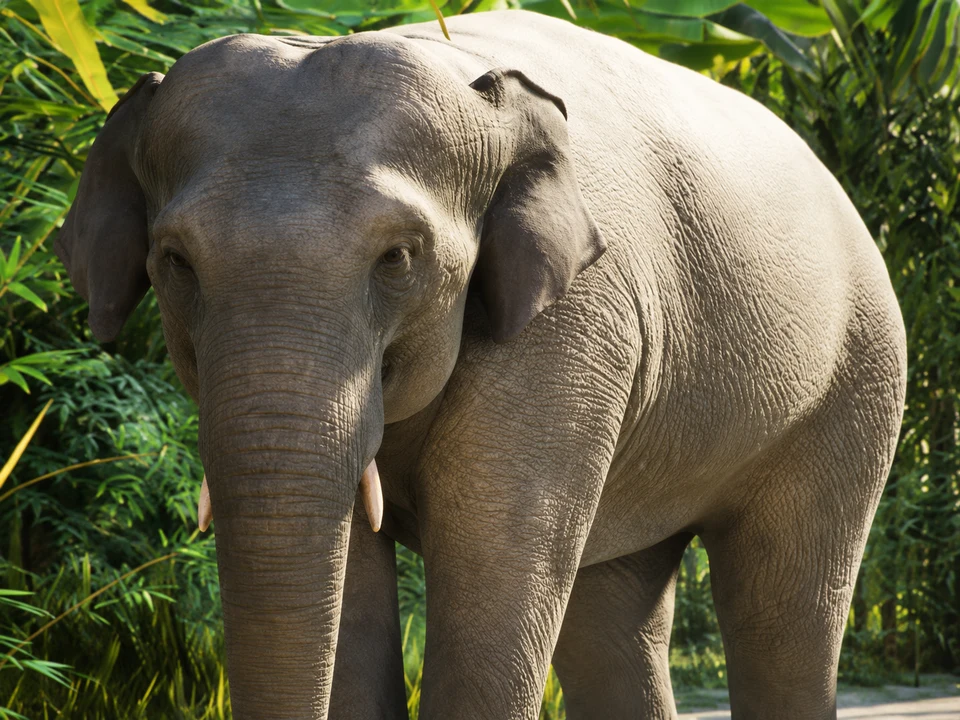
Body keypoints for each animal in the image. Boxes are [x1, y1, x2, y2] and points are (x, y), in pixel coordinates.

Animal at [54, 9, 907, 720]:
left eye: (399, 258)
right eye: (174, 261)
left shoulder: (571, 329)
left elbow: (494, 569)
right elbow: (354, 587)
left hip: (854, 381)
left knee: (786, 611)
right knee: (612, 614)